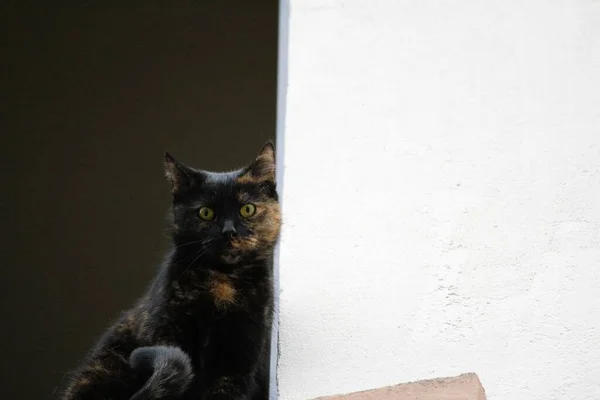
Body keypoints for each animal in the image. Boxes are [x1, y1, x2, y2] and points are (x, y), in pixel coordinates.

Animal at [59, 144, 280, 400]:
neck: (222, 283)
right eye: (206, 213)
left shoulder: (239, 357)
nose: (229, 231)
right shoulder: (168, 333)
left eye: (247, 209)